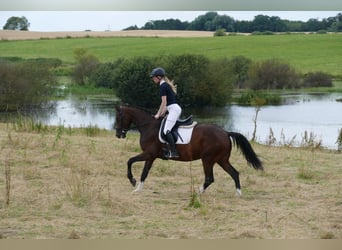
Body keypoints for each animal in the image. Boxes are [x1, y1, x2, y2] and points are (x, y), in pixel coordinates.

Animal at [114, 104, 262, 194]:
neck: (148, 126)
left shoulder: (148, 154)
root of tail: (226, 133)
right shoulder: (151, 157)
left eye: (119, 117)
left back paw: (198, 192)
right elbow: (144, 172)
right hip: (221, 160)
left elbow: (130, 161)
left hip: (207, 159)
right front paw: (138, 189)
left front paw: (132, 181)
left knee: (209, 178)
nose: (118, 134)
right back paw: (238, 193)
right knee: (234, 173)